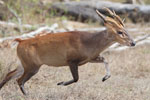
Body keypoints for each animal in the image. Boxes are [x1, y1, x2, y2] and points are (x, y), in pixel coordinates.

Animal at [0, 7, 135, 95]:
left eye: (126, 30)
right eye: (120, 32)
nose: (133, 43)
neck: (89, 43)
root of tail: (20, 42)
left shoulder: (89, 58)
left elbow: (105, 59)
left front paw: (105, 77)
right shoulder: (71, 60)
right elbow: (76, 78)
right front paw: (61, 83)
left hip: (24, 63)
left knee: (9, 75)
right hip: (32, 66)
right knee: (19, 80)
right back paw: (27, 95)